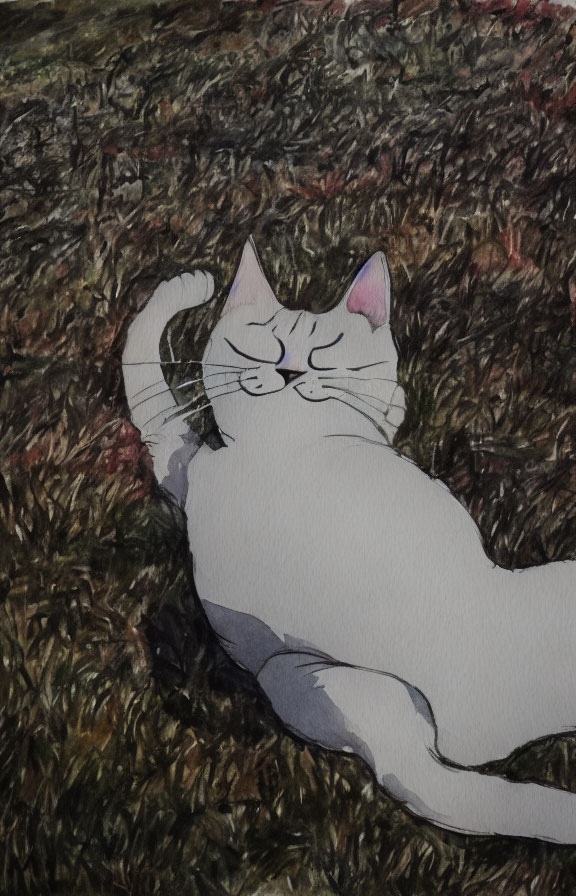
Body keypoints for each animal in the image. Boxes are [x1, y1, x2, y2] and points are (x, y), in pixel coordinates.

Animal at [122, 238, 576, 840]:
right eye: (264, 344)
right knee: (445, 788)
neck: (287, 446)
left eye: (325, 351)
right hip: (321, 681)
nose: (289, 369)